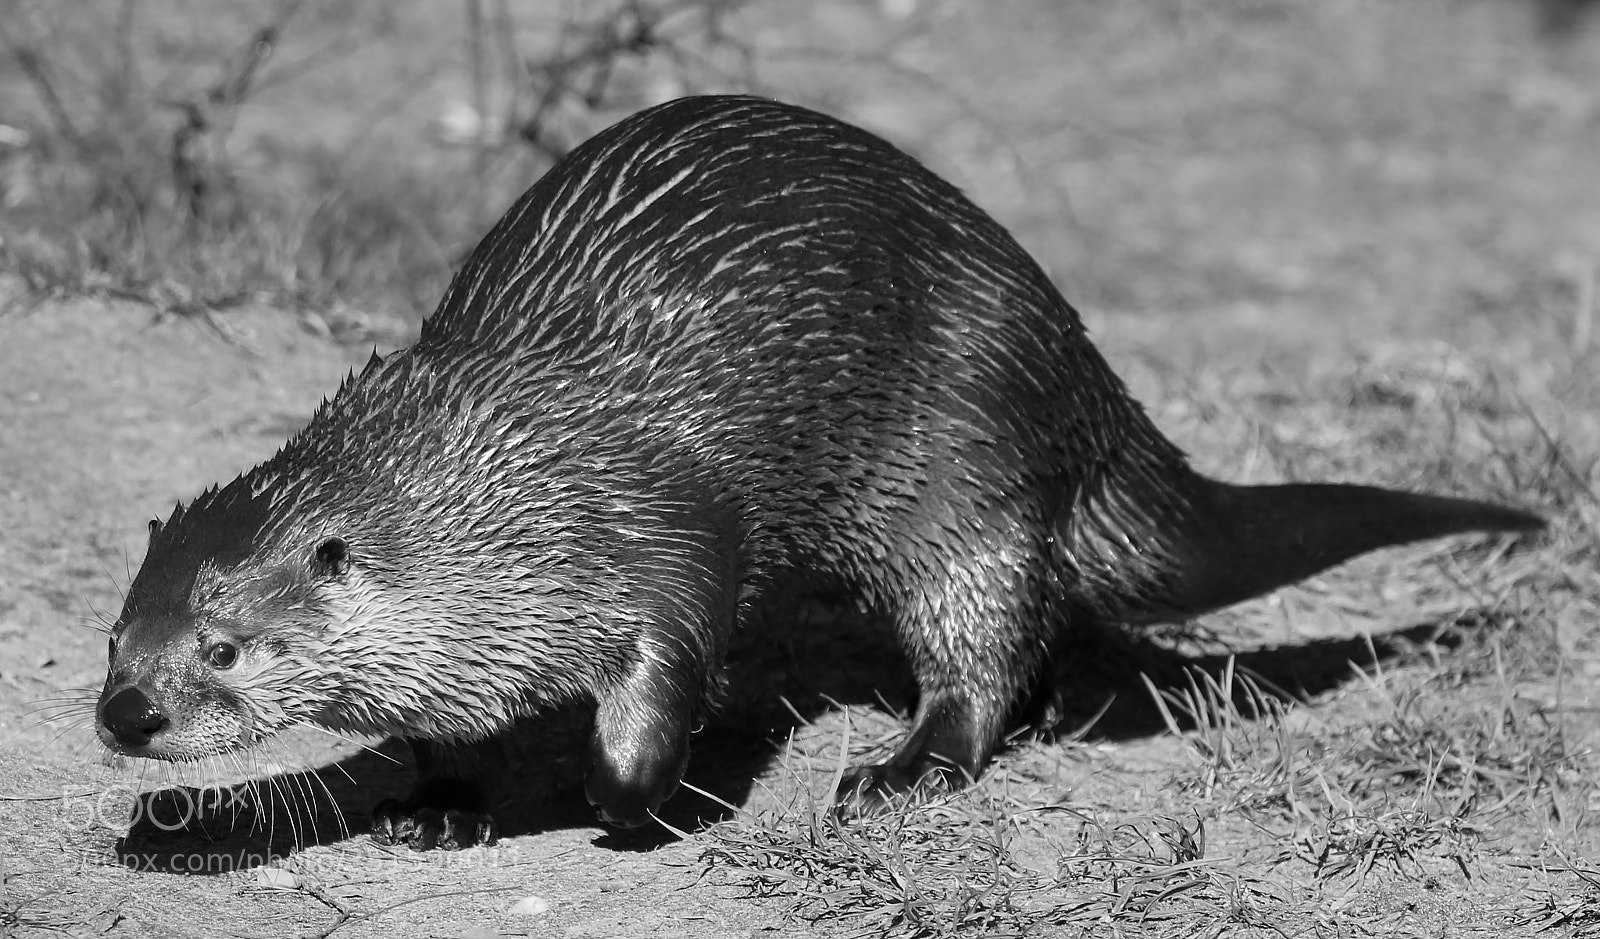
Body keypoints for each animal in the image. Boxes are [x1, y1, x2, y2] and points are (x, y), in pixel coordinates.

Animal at [97, 94, 1542, 851]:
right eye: (118, 636)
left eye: (223, 648)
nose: (126, 715)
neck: (504, 485)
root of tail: (1069, 355)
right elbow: (442, 728)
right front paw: (436, 801)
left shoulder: (658, 534)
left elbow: (675, 657)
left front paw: (630, 795)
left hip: (963, 471)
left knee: (983, 642)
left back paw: (900, 767)